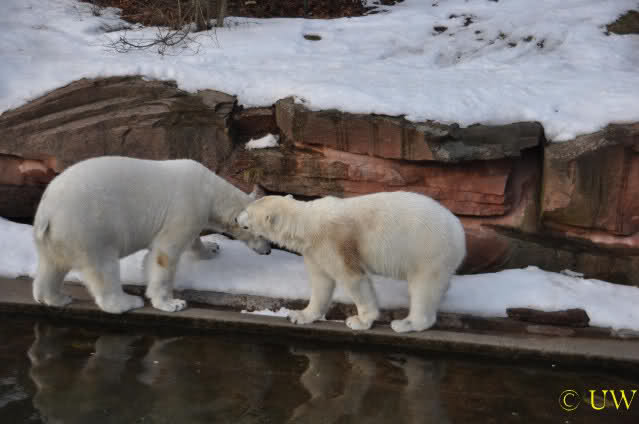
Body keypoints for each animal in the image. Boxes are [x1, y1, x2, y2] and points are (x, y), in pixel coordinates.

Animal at [33, 156, 271, 314]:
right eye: (264, 236)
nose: (268, 251)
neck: (209, 190)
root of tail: (47, 210)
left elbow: (193, 241)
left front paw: (212, 248)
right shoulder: (186, 207)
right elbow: (165, 254)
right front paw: (172, 303)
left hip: (55, 236)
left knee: (51, 266)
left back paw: (57, 298)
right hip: (90, 228)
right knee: (103, 268)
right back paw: (128, 302)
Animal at [237, 191, 466, 333]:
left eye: (248, 211)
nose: (236, 218)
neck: (306, 224)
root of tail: (459, 232)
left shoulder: (334, 242)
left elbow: (353, 278)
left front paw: (359, 321)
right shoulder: (314, 251)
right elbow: (321, 282)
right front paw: (299, 315)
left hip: (428, 250)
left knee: (423, 288)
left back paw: (405, 324)